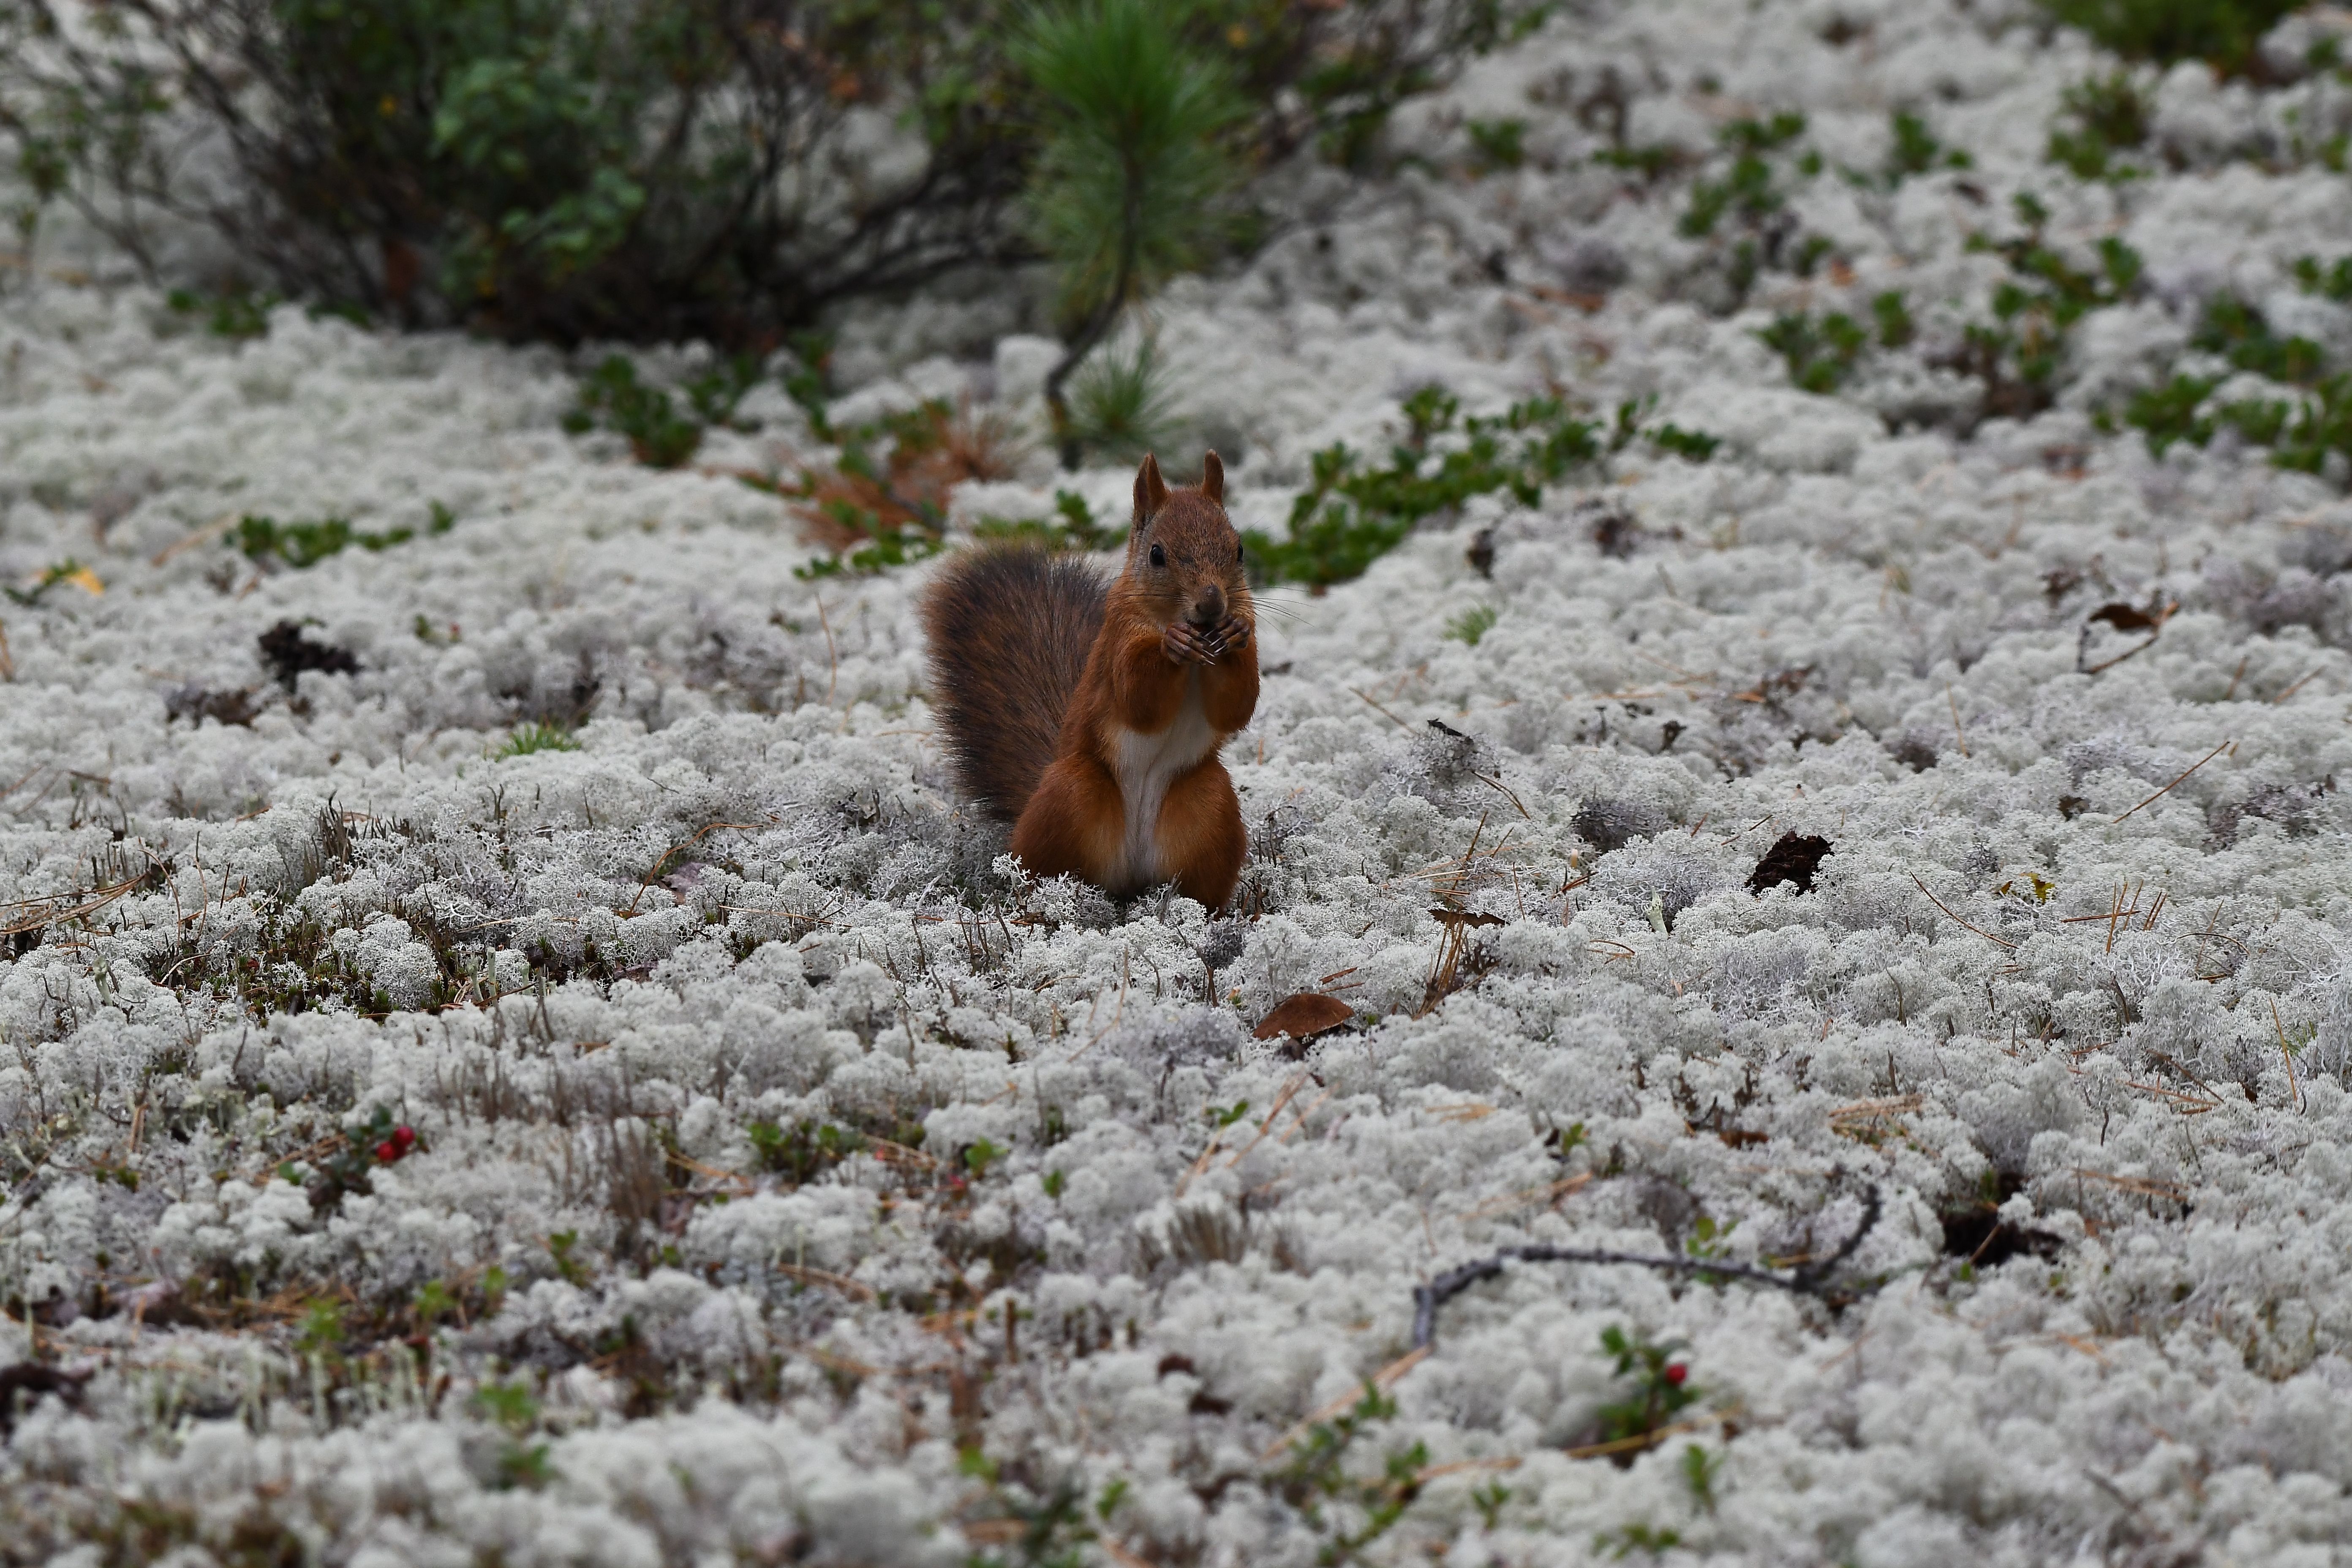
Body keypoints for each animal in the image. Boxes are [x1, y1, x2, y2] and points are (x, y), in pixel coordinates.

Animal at [923, 451, 1258, 910]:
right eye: (1157, 555)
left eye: (1239, 549)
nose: (1212, 603)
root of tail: (1130, 871)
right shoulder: (1118, 642)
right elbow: (1139, 699)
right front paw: (1172, 645)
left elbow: (1236, 706)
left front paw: (1235, 634)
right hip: (1070, 794)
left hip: (1209, 805)